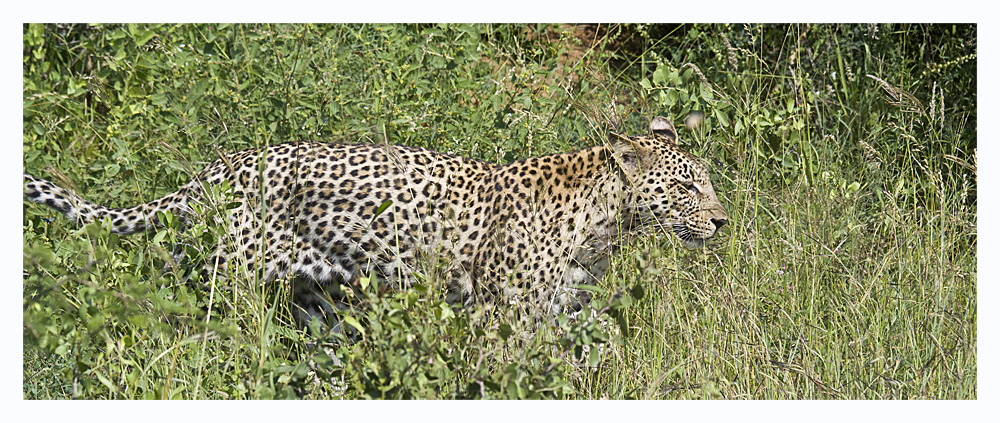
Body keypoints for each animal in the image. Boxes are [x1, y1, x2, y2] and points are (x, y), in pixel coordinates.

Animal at [23, 117, 728, 326]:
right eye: (687, 185)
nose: (724, 221)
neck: (606, 222)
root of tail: (218, 168)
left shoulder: (565, 306)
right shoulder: (504, 313)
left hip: (316, 292)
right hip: (237, 272)